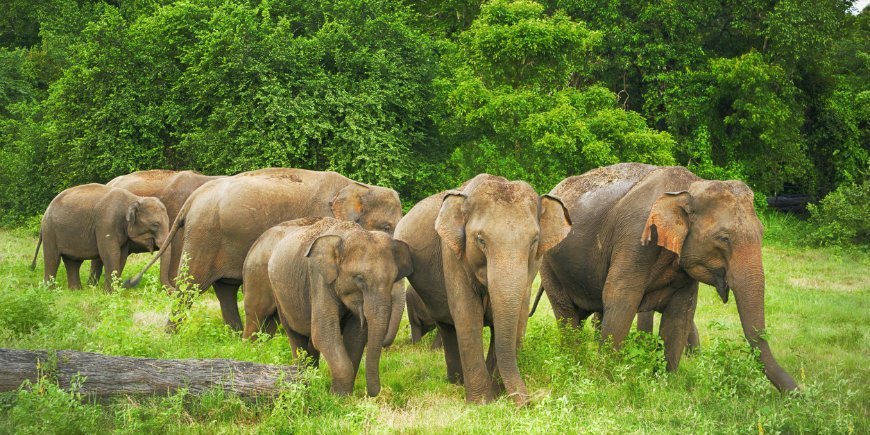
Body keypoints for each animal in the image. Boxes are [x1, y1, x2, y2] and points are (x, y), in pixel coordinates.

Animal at [31, 184, 169, 292]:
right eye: (155, 225)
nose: (129, 282)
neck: (135, 198)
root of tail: (46, 210)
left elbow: (122, 256)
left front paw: (115, 292)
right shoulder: (106, 223)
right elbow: (111, 253)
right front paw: (110, 293)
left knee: (73, 262)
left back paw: (75, 291)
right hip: (50, 230)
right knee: (52, 258)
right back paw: (50, 291)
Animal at [126, 168, 404, 332]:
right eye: (386, 227)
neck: (360, 187)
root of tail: (192, 199)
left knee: (225, 290)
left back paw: (236, 335)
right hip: (204, 236)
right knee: (190, 288)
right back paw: (172, 334)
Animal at [241, 217, 412, 396]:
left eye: (393, 279)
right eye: (359, 279)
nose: (373, 393)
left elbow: (356, 336)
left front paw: (343, 395)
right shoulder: (319, 278)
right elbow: (324, 334)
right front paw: (337, 397)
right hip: (275, 290)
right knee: (290, 334)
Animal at [394, 174, 571, 405]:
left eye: (534, 240)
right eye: (480, 240)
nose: (528, 403)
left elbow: (518, 319)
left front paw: (498, 395)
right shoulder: (452, 255)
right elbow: (468, 316)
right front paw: (482, 403)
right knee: (447, 326)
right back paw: (456, 382)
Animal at [537, 163, 797, 392]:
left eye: (762, 233)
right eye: (723, 238)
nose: (798, 392)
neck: (690, 187)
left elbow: (681, 313)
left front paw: (666, 383)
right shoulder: (634, 239)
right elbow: (621, 299)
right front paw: (608, 380)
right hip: (548, 263)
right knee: (567, 314)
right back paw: (572, 361)